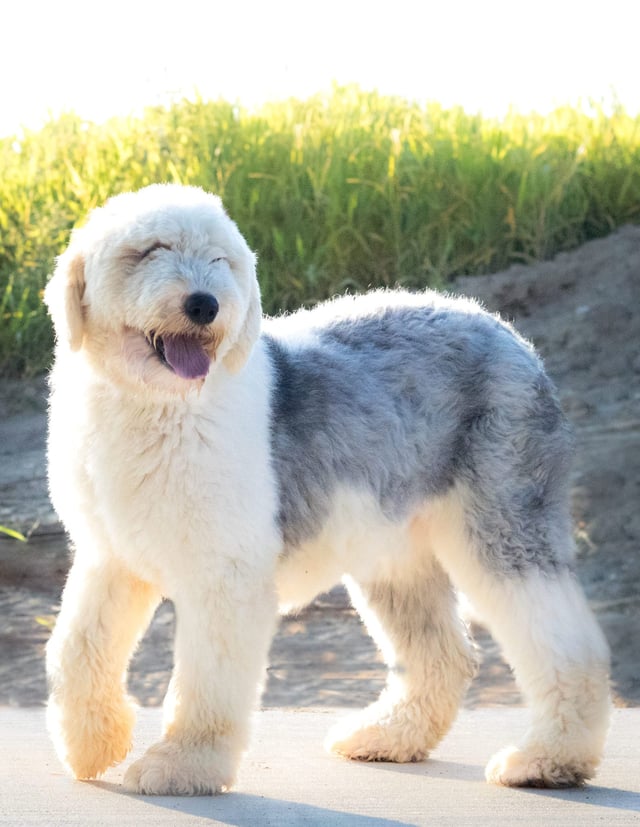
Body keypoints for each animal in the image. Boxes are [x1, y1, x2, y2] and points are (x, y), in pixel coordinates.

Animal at [45, 184, 608, 792]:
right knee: (445, 655)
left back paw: (548, 760)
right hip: (393, 553)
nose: (204, 305)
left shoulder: (225, 575)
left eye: (221, 260)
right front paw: (91, 745)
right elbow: (75, 649)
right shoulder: (109, 557)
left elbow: (206, 678)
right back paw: (389, 735)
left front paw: (183, 765)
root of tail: (505, 332)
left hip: (501, 525)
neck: (157, 406)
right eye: (150, 250)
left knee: (569, 644)